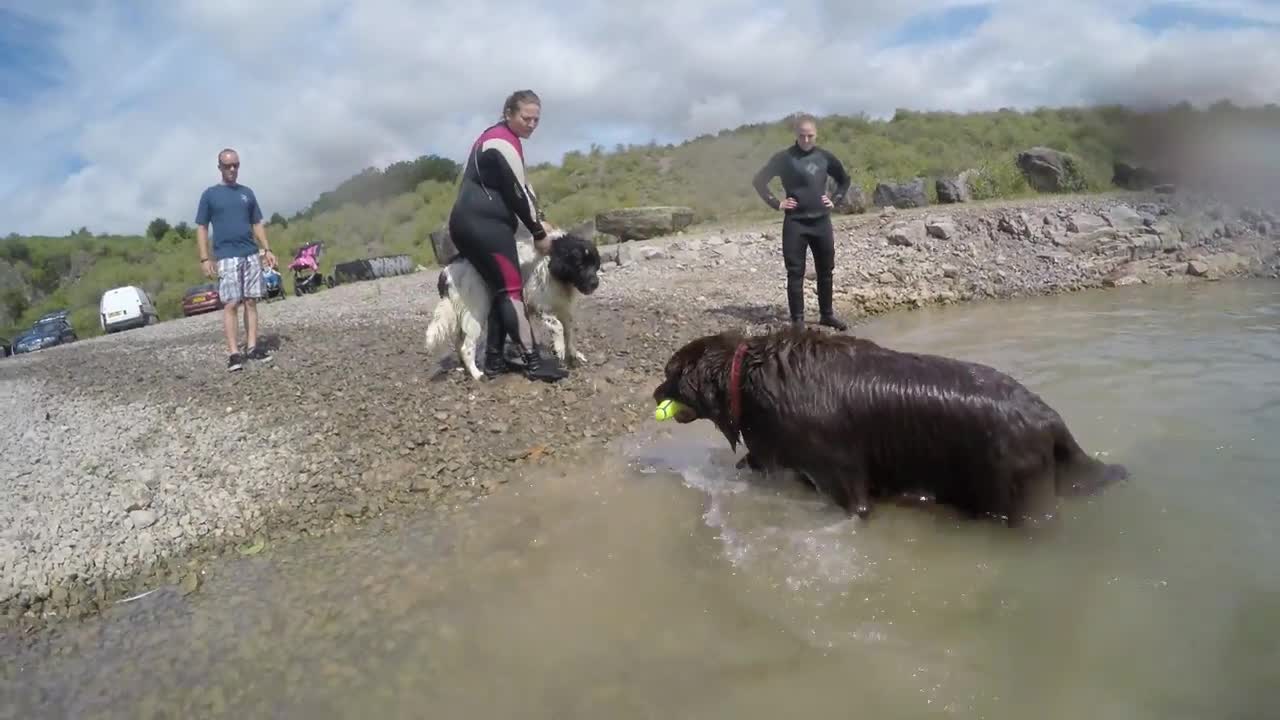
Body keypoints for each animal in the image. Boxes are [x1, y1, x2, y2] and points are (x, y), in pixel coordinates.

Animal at [419, 230, 599, 381]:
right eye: (580, 265)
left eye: (594, 264)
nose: (595, 283)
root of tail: (447, 270)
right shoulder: (541, 306)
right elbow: (558, 327)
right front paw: (559, 351)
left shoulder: (563, 308)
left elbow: (569, 332)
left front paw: (574, 355)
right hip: (477, 311)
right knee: (466, 347)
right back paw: (477, 374)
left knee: (458, 342)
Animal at [655, 326, 1126, 527]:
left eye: (669, 373)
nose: (654, 393)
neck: (750, 377)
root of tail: (1048, 418)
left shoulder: (840, 472)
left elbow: (854, 503)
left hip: (1013, 492)